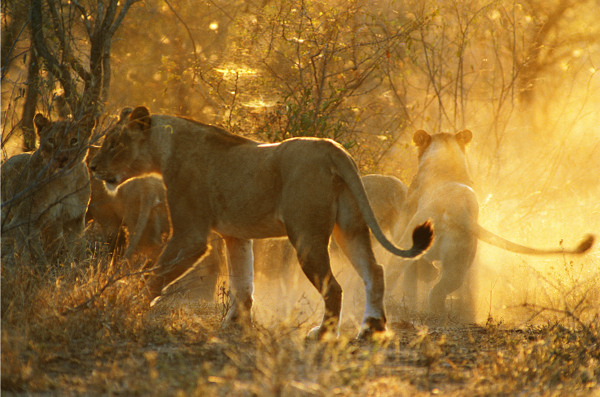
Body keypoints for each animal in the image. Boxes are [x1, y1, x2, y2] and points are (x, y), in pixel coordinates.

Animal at [0, 113, 92, 262]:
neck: (64, 181)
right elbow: (36, 254)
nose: (62, 158)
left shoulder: (76, 218)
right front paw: (40, 267)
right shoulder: (24, 220)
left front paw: (79, 266)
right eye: (51, 140)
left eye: (74, 140)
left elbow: (78, 249)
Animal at [89, 105, 432, 338]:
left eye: (115, 143)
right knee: (375, 271)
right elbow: (242, 284)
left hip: (307, 237)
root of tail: (331, 147)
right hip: (349, 228)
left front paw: (125, 305)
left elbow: (155, 276)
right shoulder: (236, 236)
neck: (164, 150)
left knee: (334, 287)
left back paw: (322, 334)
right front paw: (235, 326)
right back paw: (371, 329)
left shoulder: (190, 234)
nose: (91, 165)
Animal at [390, 128, 596, 314]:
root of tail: (458, 209)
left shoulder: (407, 213)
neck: (448, 162)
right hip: (459, 260)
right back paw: (437, 313)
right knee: (439, 290)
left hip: (417, 241)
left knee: (396, 268)